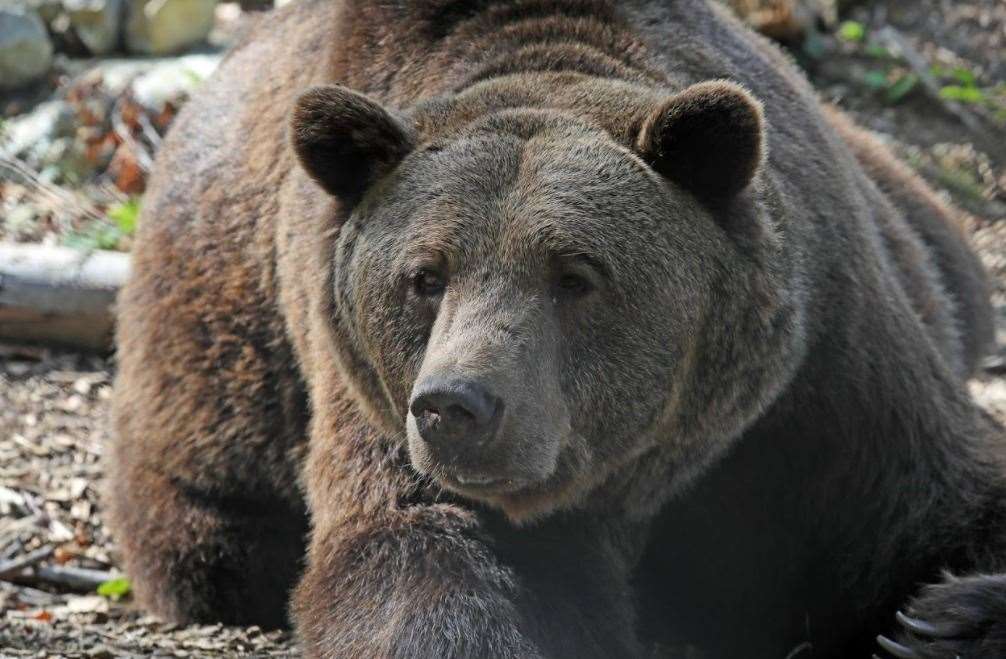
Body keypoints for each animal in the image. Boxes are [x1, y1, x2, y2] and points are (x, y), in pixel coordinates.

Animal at [106, 1, 1001, 659]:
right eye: (424, 276)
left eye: (575, 275)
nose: (456, 406)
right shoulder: (378, 411)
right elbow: (431, 560)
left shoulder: (815, 387)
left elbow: (944, 500)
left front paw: (946, 615)